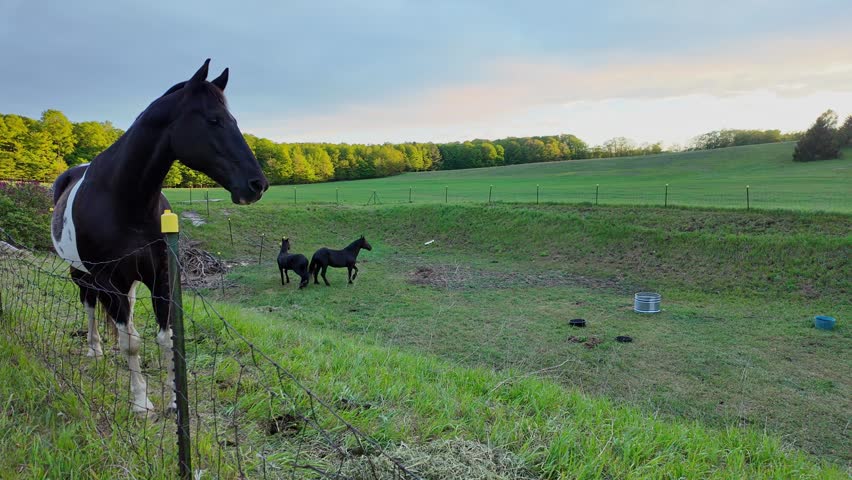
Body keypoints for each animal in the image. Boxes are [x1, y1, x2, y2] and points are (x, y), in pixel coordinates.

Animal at [50, 59, 268, 414]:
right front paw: (140, 401)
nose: (257, 184)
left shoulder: (161, 278)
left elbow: (165, 339)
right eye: (213, 120)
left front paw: (176, 400)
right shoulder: (108, 279)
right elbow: (132, 342)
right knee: (90, 305)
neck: (124, 199)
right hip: (82, 274)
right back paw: (95, 349)